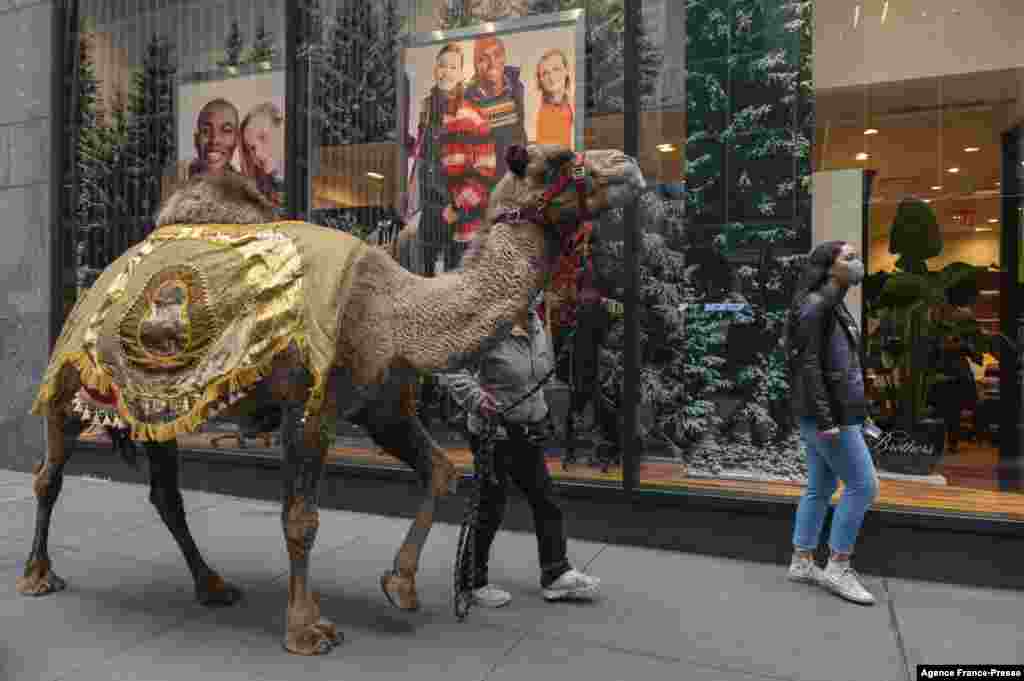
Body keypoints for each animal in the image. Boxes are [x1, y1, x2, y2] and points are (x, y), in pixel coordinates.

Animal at [19, 142, 643, 655]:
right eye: (559, 161)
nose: (629, 166)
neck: (397, 312)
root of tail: (96, 283)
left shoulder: (380, 407)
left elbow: (441, 471)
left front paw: (401, 586)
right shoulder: (308, 405)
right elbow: (301, 519)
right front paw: (307, 629)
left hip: (159, 405)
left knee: (166, 495)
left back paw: (213, 585)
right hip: (71, 376)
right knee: (48, 475)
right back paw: (37, 575)